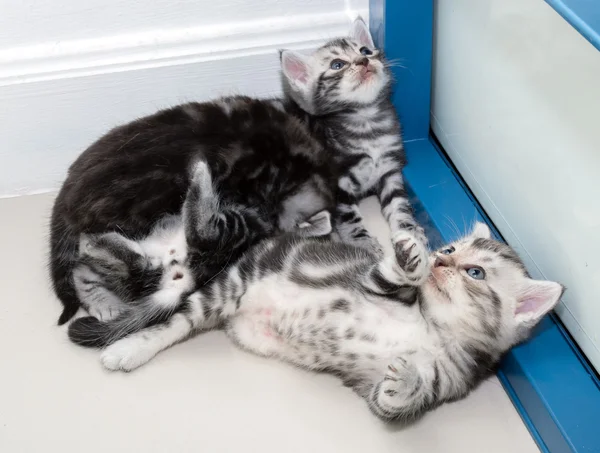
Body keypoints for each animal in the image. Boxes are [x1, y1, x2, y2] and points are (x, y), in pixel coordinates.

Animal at [51, 16, 426, 324]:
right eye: (337, 64)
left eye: (365, 49)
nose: (365, 60)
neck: (365, 124)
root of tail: (69, 188)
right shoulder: (337, 182)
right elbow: (349, 216)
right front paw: (365, 242)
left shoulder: (391, 171)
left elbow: (399, 206)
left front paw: (412, 234)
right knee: (96, 263)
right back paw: (103, 302)